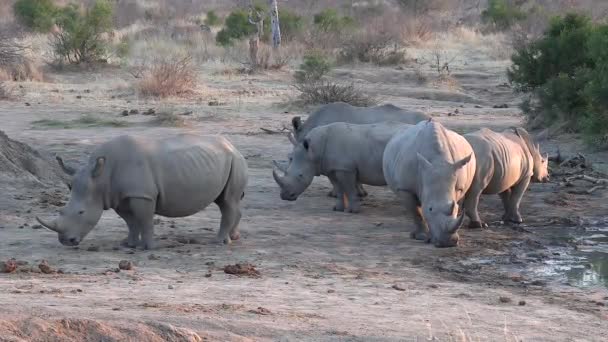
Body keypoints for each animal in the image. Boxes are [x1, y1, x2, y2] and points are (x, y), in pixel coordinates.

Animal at [36, 135, 247, 250]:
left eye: (81, 212)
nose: (65, 241)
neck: (100, 178)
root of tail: (233, 146)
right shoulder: (119, 196)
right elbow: (131, 222)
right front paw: (128, 244)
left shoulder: (142, 195)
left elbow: (145, 220)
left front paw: (148, 248)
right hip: (221, 161)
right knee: (226, 201)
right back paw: (233, 237)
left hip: (235, 160)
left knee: (228, 202)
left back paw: (218, 242)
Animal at [274, 121, 410, 212]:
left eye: (300, 175)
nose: (285, 197)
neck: (313, 151)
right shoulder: (332, 168)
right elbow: (338, 188)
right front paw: (337, 209)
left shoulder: (346, 169)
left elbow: (349, 189)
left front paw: (352, 211)